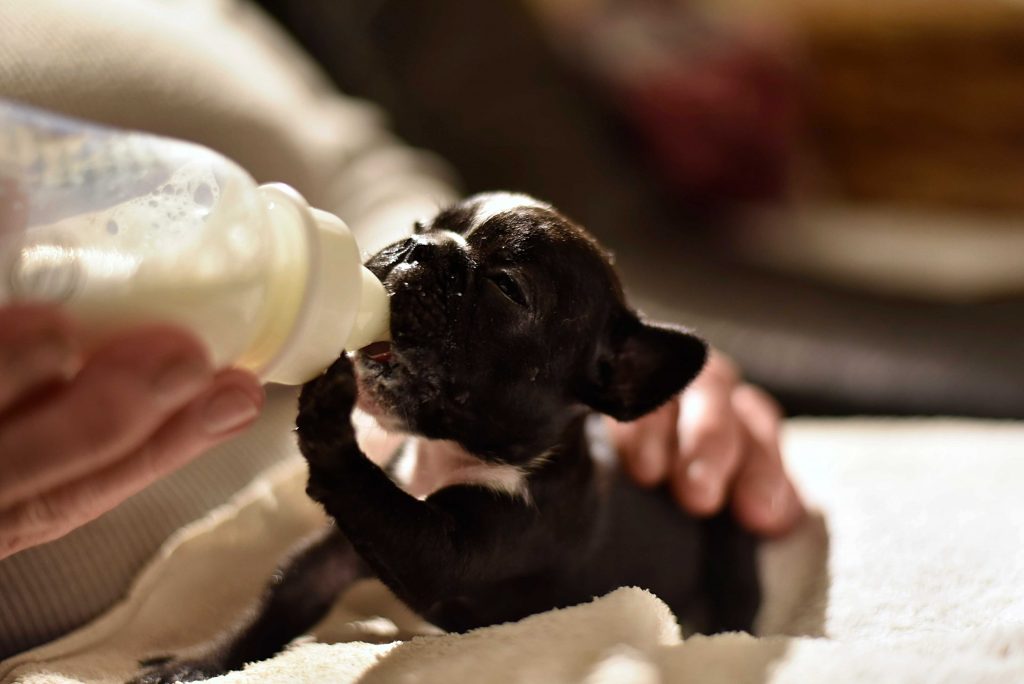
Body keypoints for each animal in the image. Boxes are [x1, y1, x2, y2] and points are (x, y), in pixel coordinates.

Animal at [134, 192, 761, 684]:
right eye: (423, 223)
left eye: (506, 286)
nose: (421, 246)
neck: (447, 452)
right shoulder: (342, 551)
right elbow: (284, 595)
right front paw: (199, 663)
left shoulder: (456, 549)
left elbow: (366, 493)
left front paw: (329, 413)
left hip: (732, 548)